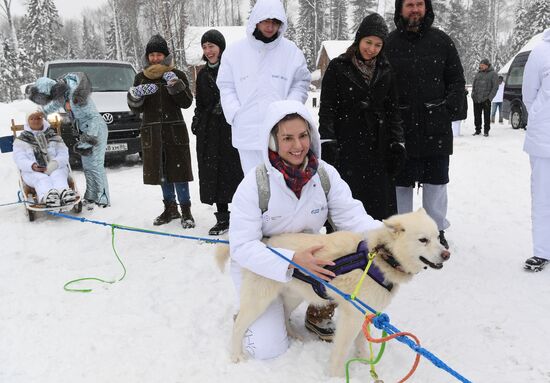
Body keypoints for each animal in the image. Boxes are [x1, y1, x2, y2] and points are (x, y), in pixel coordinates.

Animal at [217, 208, 452, 376]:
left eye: (437, 237)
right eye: (423, 240)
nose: (446, 254)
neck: (380, 258)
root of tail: (265, 242)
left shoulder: (365, 313)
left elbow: (362, 341)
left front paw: (365, 360)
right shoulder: (352, 317)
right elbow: (341, 351)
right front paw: (337, 375)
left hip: (294, 296)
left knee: (284, 313)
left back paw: (292, 334)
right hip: (259, 301)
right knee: (239, 326)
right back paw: (236, 355)